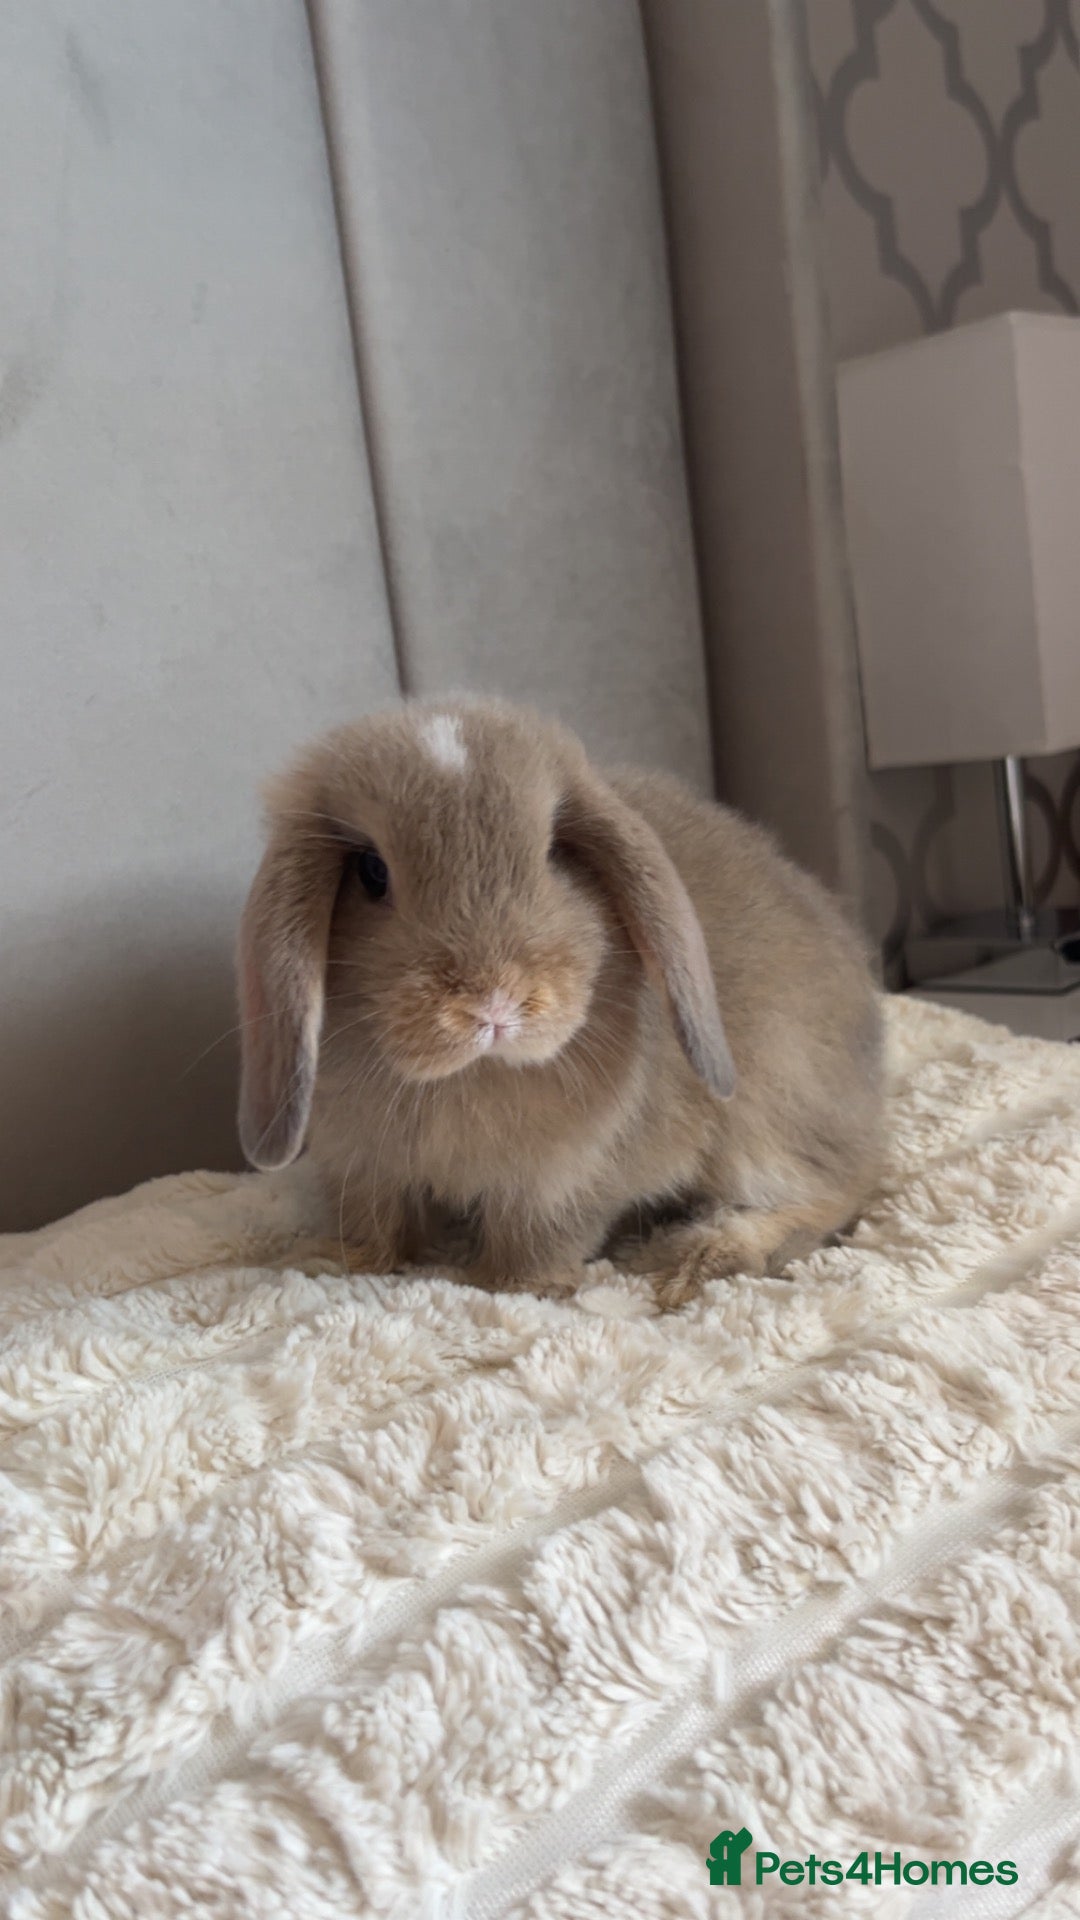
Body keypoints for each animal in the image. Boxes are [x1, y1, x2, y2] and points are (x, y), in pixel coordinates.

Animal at [237, 697, 883, 1308]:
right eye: (371, 871)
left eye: (553, 853)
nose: (493, 1003)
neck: (475, 1075)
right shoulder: (364, 1167)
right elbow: (375, 1225)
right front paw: (329, 1262)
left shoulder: (565, 1180)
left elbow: (538, 1236)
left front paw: (520, 1286)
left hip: (763, 1122)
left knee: (837, 1190)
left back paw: (700, 1255)